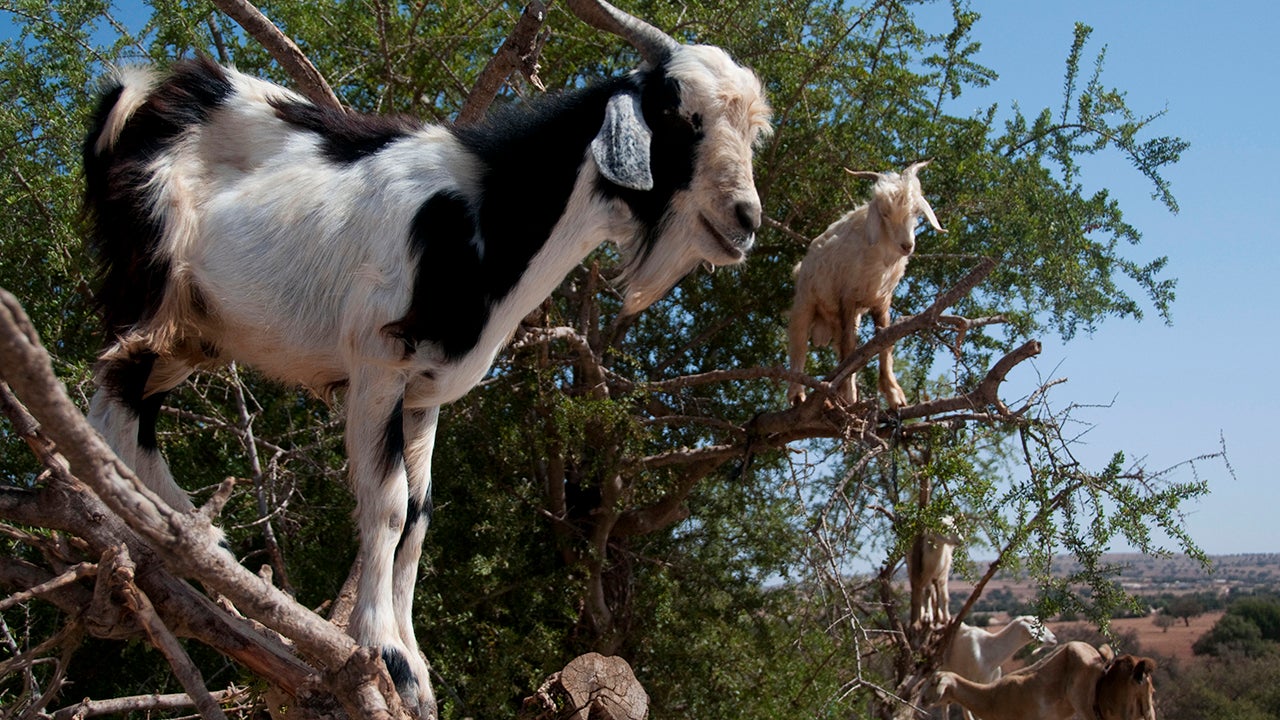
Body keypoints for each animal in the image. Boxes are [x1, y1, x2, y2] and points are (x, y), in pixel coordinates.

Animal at [80, 1, 771, 715]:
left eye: (754, 132)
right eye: (680, 114)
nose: (745, 219)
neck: (486, 217)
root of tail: (139, 98)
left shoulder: (426, 393)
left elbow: (418, 516)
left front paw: (417, 664)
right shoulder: (379, 365)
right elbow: (385, 504)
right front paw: (387, 654)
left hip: (197, 332)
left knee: (127, 408)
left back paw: (190, 539)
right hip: (151, 289)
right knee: (112, 402)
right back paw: (145, 534)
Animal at [786, 161, 943, 407]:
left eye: (916, 212)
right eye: (885, 213)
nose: (907, 246)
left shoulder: (882, 300)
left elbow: (884, 342)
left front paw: (894, 395)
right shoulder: (847, 296)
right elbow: (850, 347)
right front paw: (849, 395)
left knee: (840, 347)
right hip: (806, 300)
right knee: (800, 341)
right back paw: (797, 394)